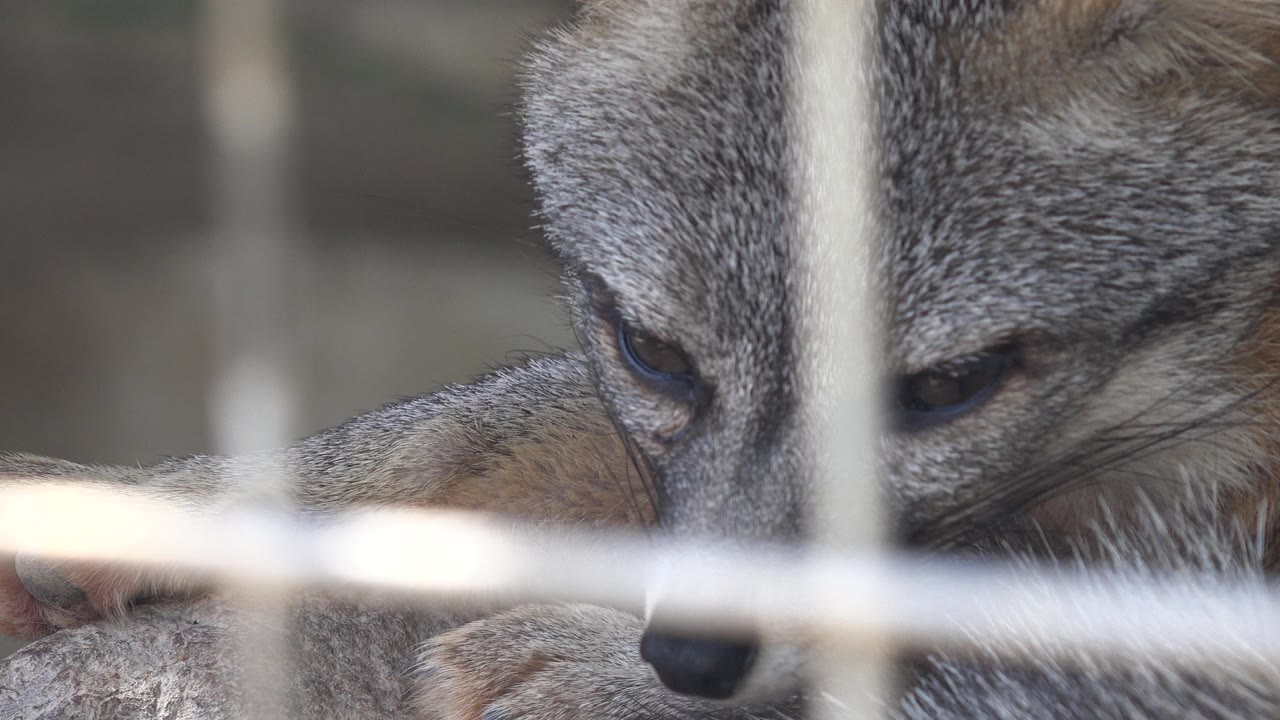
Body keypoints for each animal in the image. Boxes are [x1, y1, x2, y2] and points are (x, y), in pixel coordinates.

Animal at [4, 0, 1280, 717]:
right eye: (652, 354)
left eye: (944, 390)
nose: (686, 661)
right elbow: (452, 428)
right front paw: (147, 508)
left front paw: (600, 668)